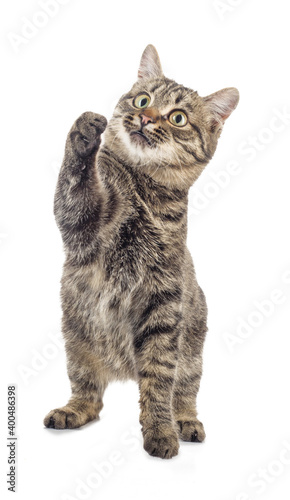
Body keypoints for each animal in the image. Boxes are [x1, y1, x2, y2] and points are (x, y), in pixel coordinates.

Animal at [43, 45, 238, 458]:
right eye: (143, 99)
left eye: (178, 117)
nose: (145, 118)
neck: (139, 187)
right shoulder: (81, 223)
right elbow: (75, 179)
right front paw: (84, 132)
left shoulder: (163, 303)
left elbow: (158, 383)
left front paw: (161, 431)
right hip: (76, 343)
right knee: (90, 397)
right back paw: (72, 410)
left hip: (192, 354)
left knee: (184, 393)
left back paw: (186, 422)